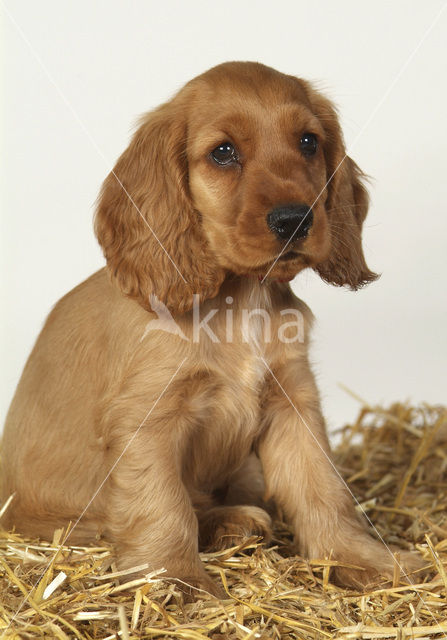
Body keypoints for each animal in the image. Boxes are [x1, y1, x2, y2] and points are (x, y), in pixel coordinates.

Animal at [0, 62, 420, 596]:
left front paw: (365, 561)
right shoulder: (147, 418)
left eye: (308, 142)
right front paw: (177, 579)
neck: (239, 300)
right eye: (223, 152)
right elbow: (161, 504)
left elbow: (322, 488)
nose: (295, 219)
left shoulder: (292, 399)